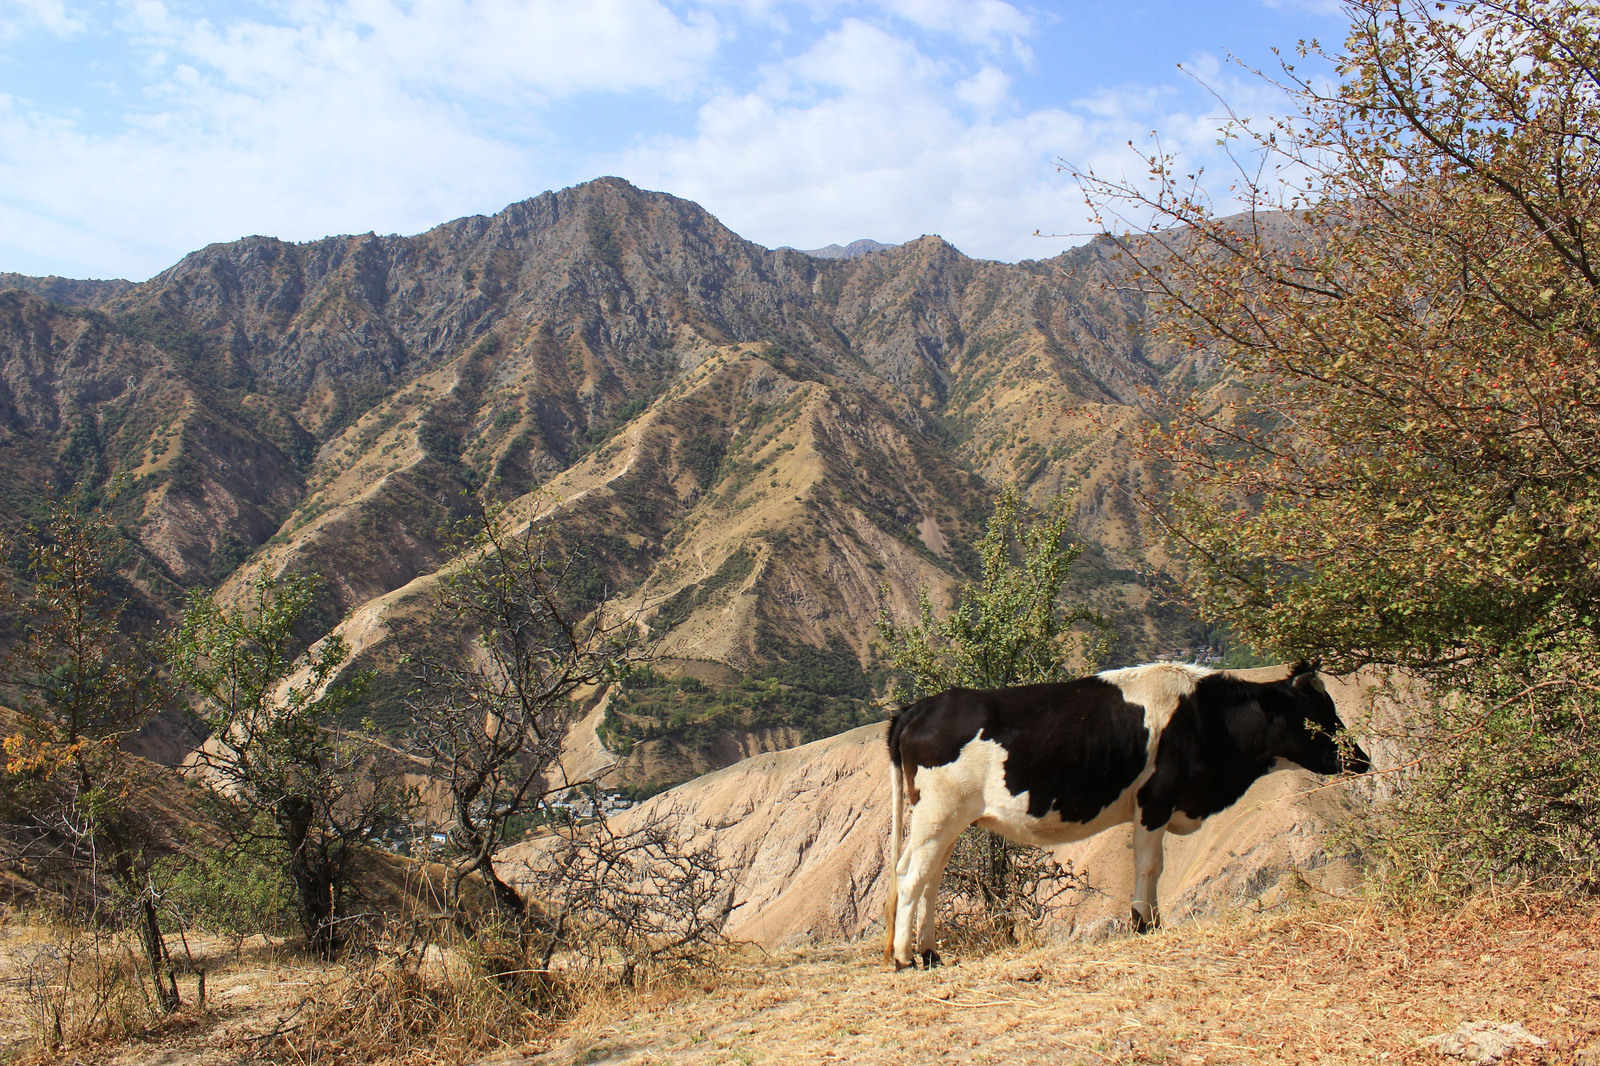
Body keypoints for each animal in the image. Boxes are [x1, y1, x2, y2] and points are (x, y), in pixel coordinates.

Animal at [883, 656, 1369, 960]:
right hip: (937, 815)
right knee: (911, 874)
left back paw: (930, 953)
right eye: (1313, 715)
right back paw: (906, 957)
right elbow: (1149, 865)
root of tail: (919, 707)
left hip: (949, 820)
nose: (1360, 758)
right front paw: (1143, 923)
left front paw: (1150, 921)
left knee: (930, 877)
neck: (1202, 717)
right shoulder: (1156, 800)